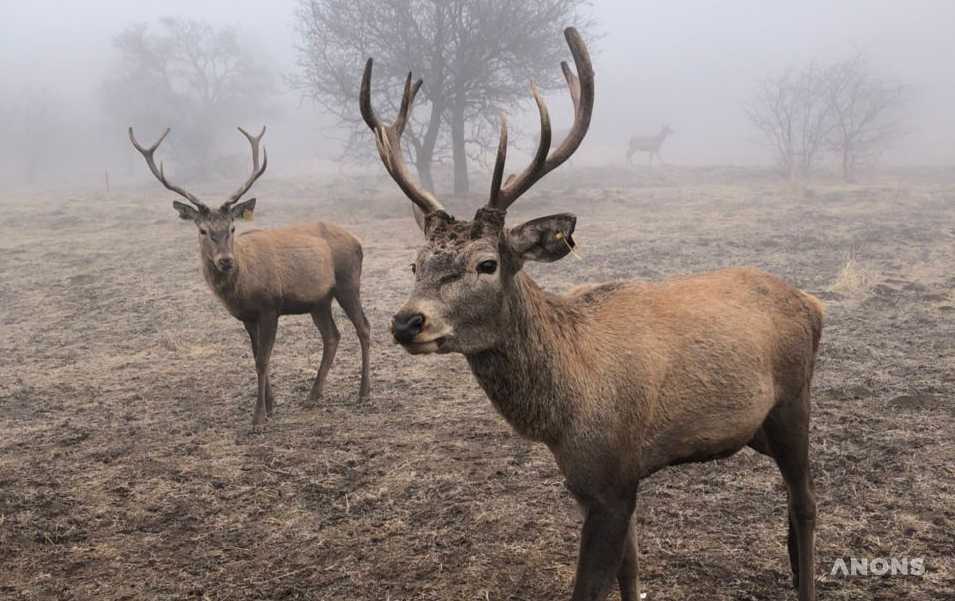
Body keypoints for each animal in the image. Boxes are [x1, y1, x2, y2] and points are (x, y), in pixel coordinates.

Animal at [129, 126, 371, 430]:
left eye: (232, 227)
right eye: (203, 230)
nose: (225, 260)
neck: (242, 289)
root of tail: (357, 241)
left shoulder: (270, 307)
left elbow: (263, 360)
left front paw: (258, 419)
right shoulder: (246, 317)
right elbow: (256, 356)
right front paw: (271, 406)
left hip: (348, 282)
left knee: (363, 327)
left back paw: (363, 394)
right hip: (319, 300)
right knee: (332, 336)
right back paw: (313, 396)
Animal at [361, 27, 820, 601]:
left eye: (487, 263)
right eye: (415, 263)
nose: (406, 322)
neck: (565, 412)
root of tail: (812, 305)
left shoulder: (614, 477)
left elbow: (592, 585)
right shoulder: (586, 482)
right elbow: (629, 570)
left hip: (793, 402)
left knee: (805, 502)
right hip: (757, 427)